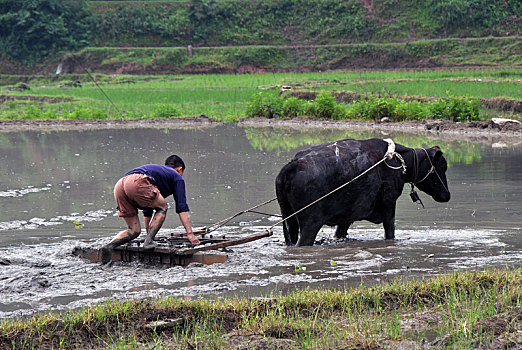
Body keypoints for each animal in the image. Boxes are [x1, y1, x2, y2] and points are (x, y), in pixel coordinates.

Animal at [274, 137, 448, 246]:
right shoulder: (389, 205)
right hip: (310, 224)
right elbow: (390, 232)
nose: (447, 195)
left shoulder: (347, 217)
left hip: (290, 221)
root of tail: (293, 164)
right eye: (442, 166)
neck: (398, 160)